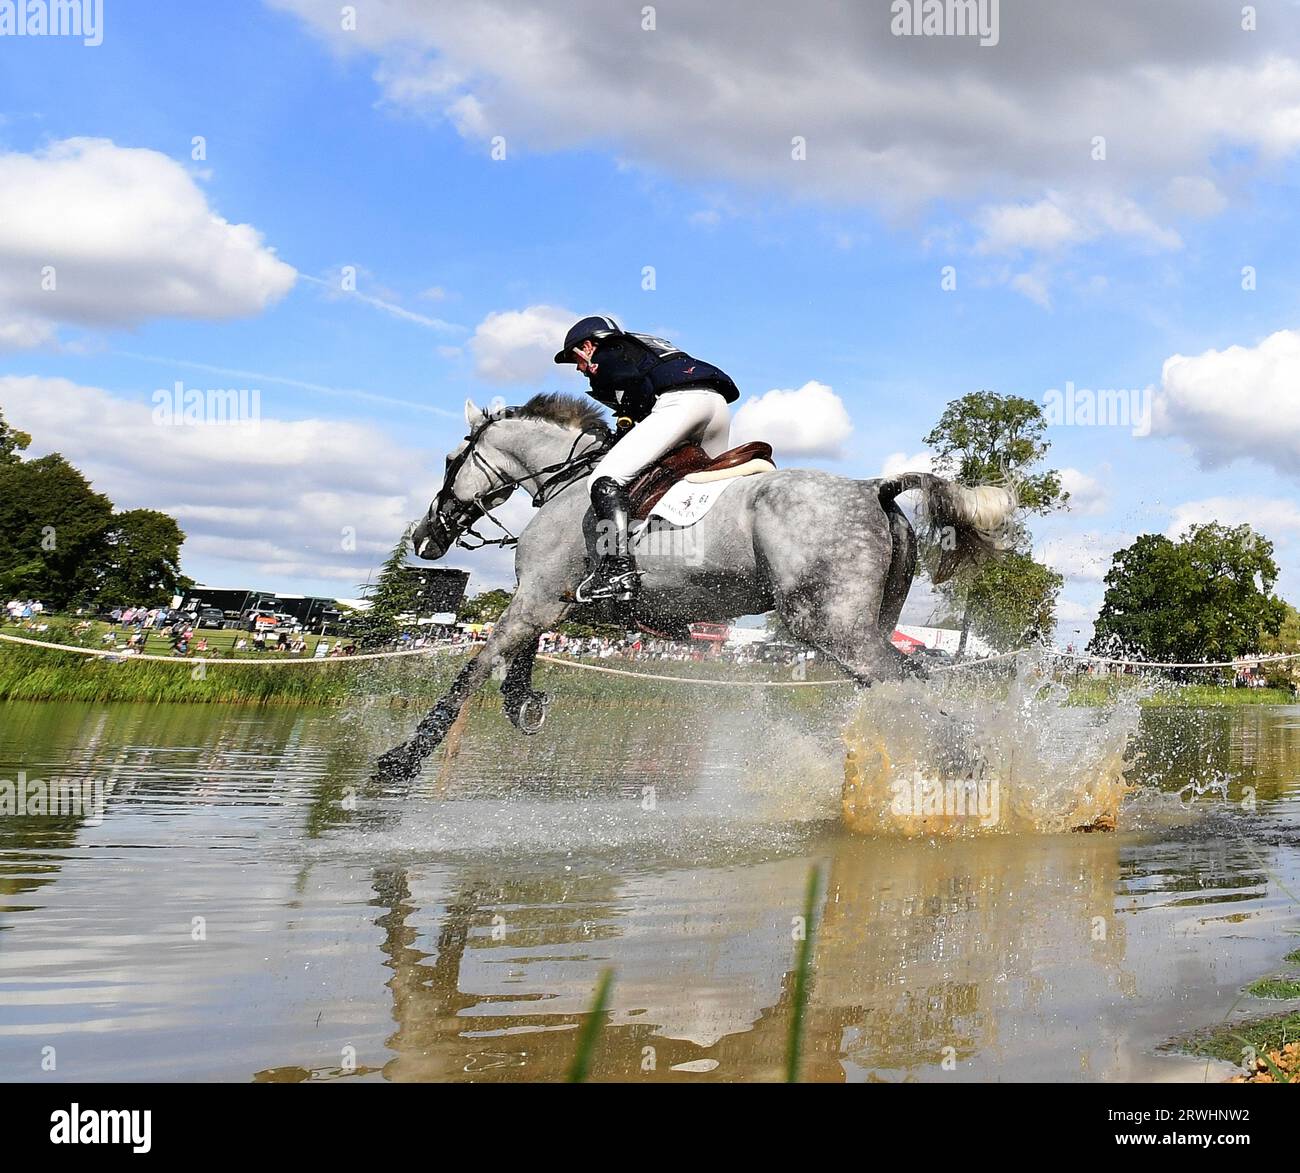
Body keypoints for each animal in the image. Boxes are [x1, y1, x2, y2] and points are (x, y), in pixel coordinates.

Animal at [376, 393, 1016, 780]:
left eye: (450, 460)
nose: (427, 536)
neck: (568, 480)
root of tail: (873, 487)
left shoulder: (535, 599)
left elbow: (474, 668)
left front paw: (403, 758)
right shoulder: (549, 604)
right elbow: (515, 660)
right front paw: (524, 704)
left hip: (832, 629)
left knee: (913, 683)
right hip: (865, 627)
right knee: (906, 688)